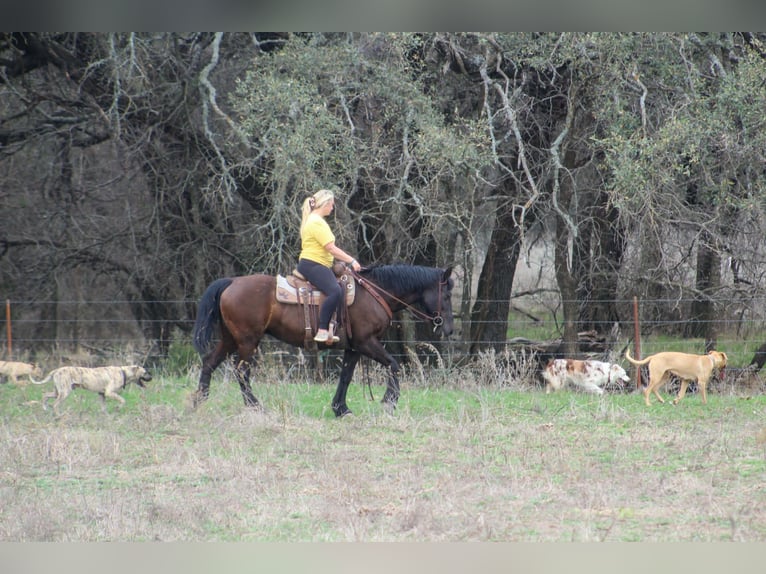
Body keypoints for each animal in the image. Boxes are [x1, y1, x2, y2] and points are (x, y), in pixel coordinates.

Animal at [191, 264, 454, 416]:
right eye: (448, 295)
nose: (449, 329)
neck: (375, 293)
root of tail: (232, 281)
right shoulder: (367, 342)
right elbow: (394, 365)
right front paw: (389, 401)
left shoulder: (354, 348)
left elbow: (346, 376)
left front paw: (341, 408)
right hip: (247, 341)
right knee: (241, 371)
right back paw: (255, 406)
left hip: (230, 339)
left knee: (210, 362)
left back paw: (199, 401)